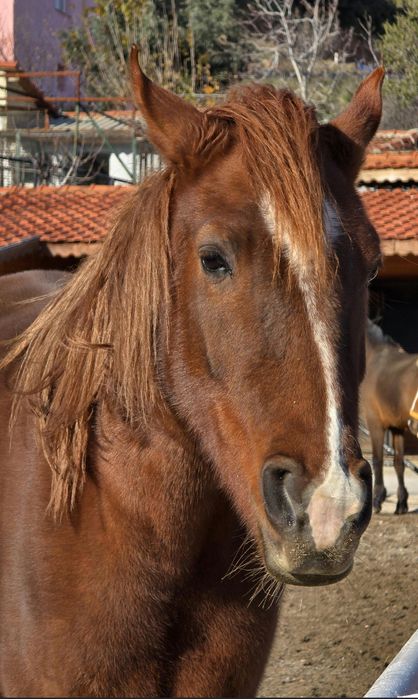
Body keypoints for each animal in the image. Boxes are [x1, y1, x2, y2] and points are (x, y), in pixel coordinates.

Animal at [361, 320, 418, 514]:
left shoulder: (375, 423)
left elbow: (377, 460)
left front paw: (377, 500)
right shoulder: (397, 427)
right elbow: (399, 463)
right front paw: (401, 503)